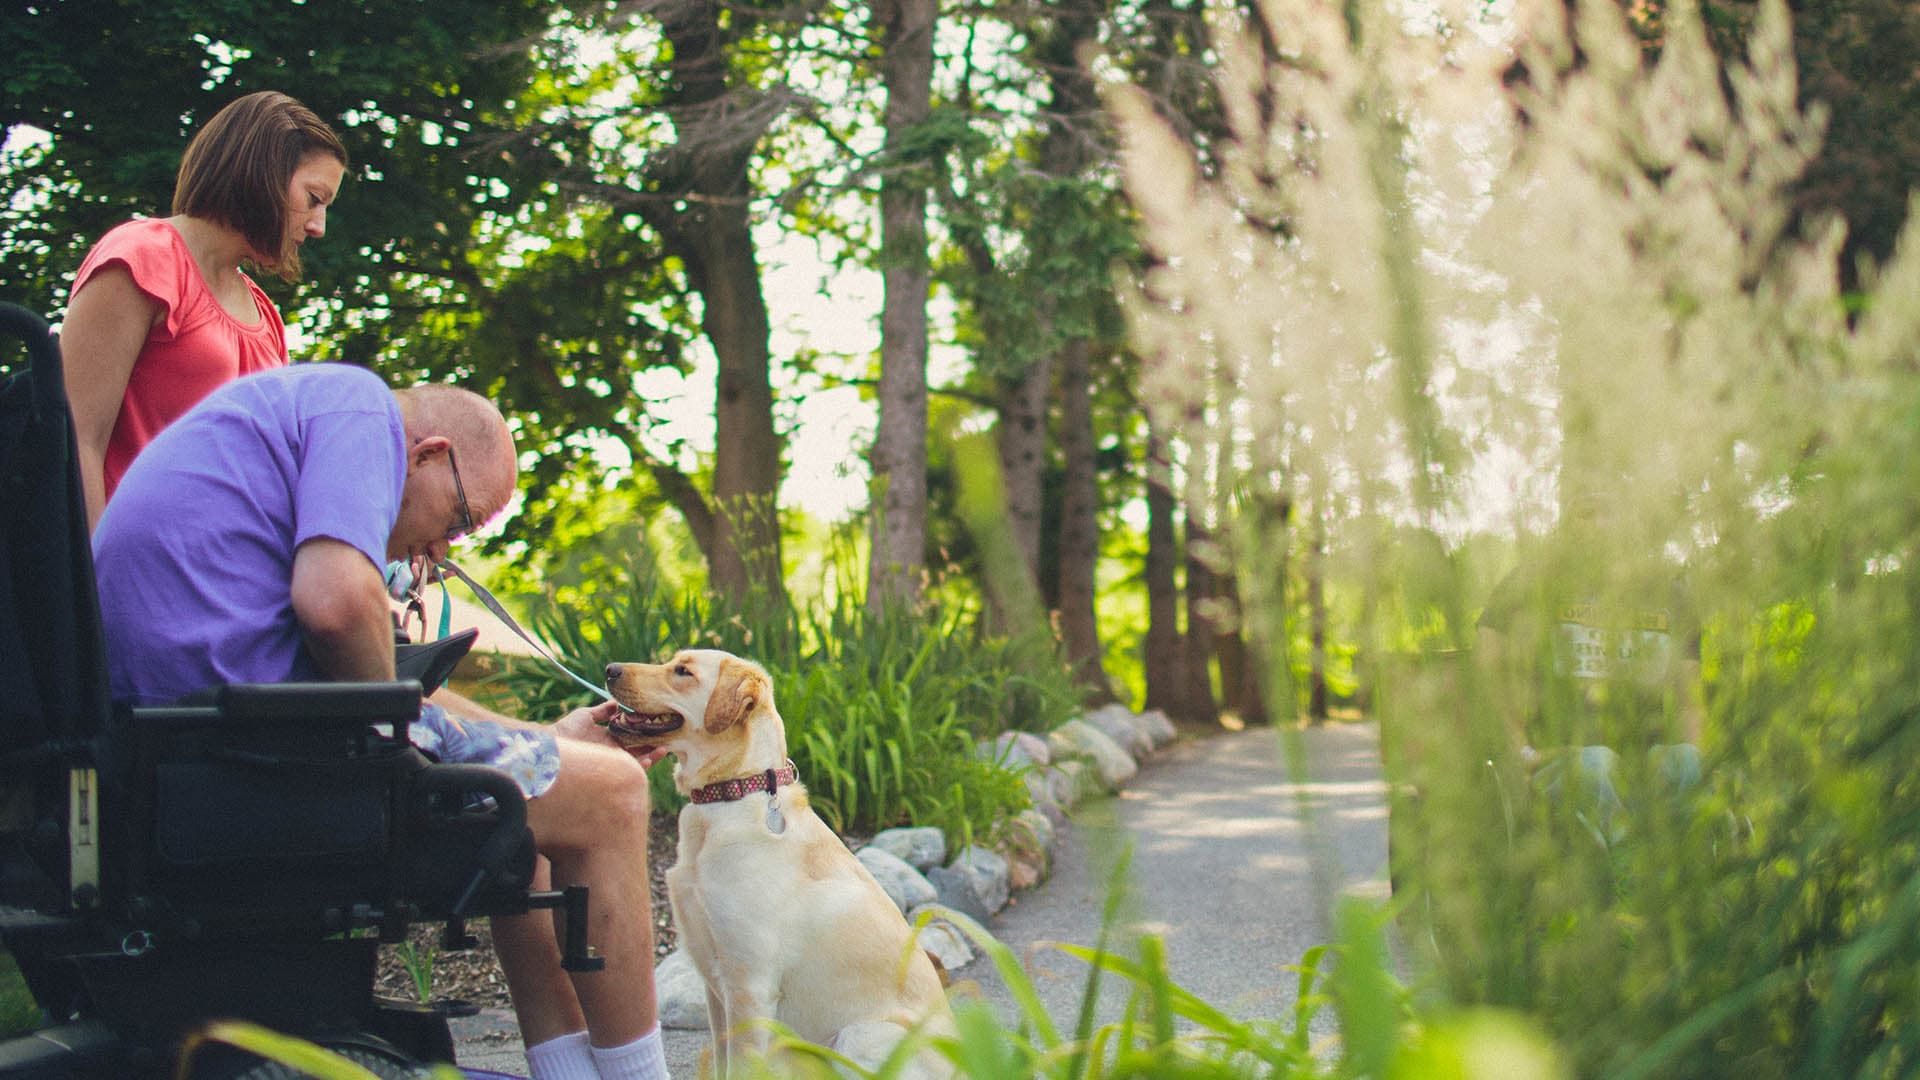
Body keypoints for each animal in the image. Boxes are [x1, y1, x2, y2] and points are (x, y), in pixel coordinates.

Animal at [602, 641, 956, 1068]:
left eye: (683, 672)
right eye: (672, 662)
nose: (609, 669)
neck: (735, 790)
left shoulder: (748, 988)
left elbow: (738, 1068)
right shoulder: (714, 986)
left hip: (862, 1034)